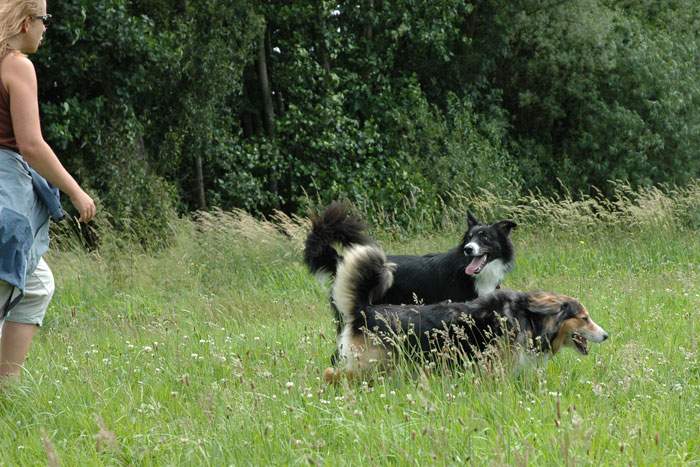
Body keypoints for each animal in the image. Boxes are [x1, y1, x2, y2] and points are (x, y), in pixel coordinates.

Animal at [322, 245, 608, 384]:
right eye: (584, 318)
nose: (606, 335)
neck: (527, 316)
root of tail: (364, 311)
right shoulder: (494, 369)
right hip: (369, 365)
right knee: (330, 374)